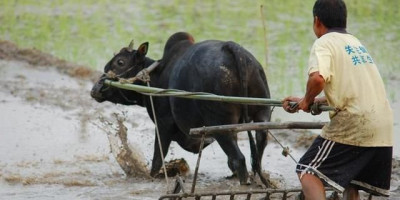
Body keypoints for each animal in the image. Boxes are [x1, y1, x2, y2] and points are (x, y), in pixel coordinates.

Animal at [91, 32, 272, 184]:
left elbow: (158, 157)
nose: (96, 89)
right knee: (258, 150)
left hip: (221, 125)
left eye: (120, 62)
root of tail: (234, 49)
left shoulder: (163, 124)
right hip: (261, 114)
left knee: (239, 159)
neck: (156, 75)